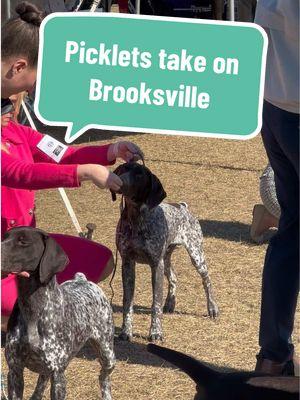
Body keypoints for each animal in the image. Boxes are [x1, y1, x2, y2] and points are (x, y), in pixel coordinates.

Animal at [1, 228, 115, 400]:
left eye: (23, 241)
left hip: (107, 354)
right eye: (4, 237)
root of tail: (82, 279)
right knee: (42, 381)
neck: (32, 307)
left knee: (103, 377)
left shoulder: (58, 376)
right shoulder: (15, 371)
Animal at [111, 162, 219, 340]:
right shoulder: (127, 264)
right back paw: (170, 303)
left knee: (207, 280)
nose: (120, 180)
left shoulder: (156, 265)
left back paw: (213, 308)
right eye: (123, 168)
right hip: (166, 260)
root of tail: (183, 207)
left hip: (196, 256)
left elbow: (155, 303)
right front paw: (126, 331)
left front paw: (156, 332)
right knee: (174, 277)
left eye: (140, 175)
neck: (136, 221)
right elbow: (128, 302)